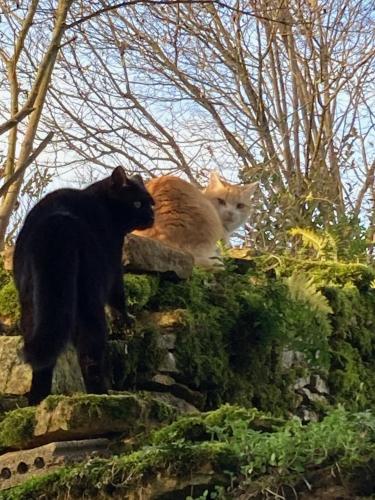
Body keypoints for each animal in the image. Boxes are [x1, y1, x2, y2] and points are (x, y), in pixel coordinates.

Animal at [13, 166, 154, 404]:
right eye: (137, 204)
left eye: (151, 204)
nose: (152, 216)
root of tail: (57, 223)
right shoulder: (114, 263)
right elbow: (118, 296)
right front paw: (126, 320)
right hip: (89, 298)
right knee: (90, 353)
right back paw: (101, 397)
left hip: (30, 303)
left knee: (43, 356)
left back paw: (37, 401)